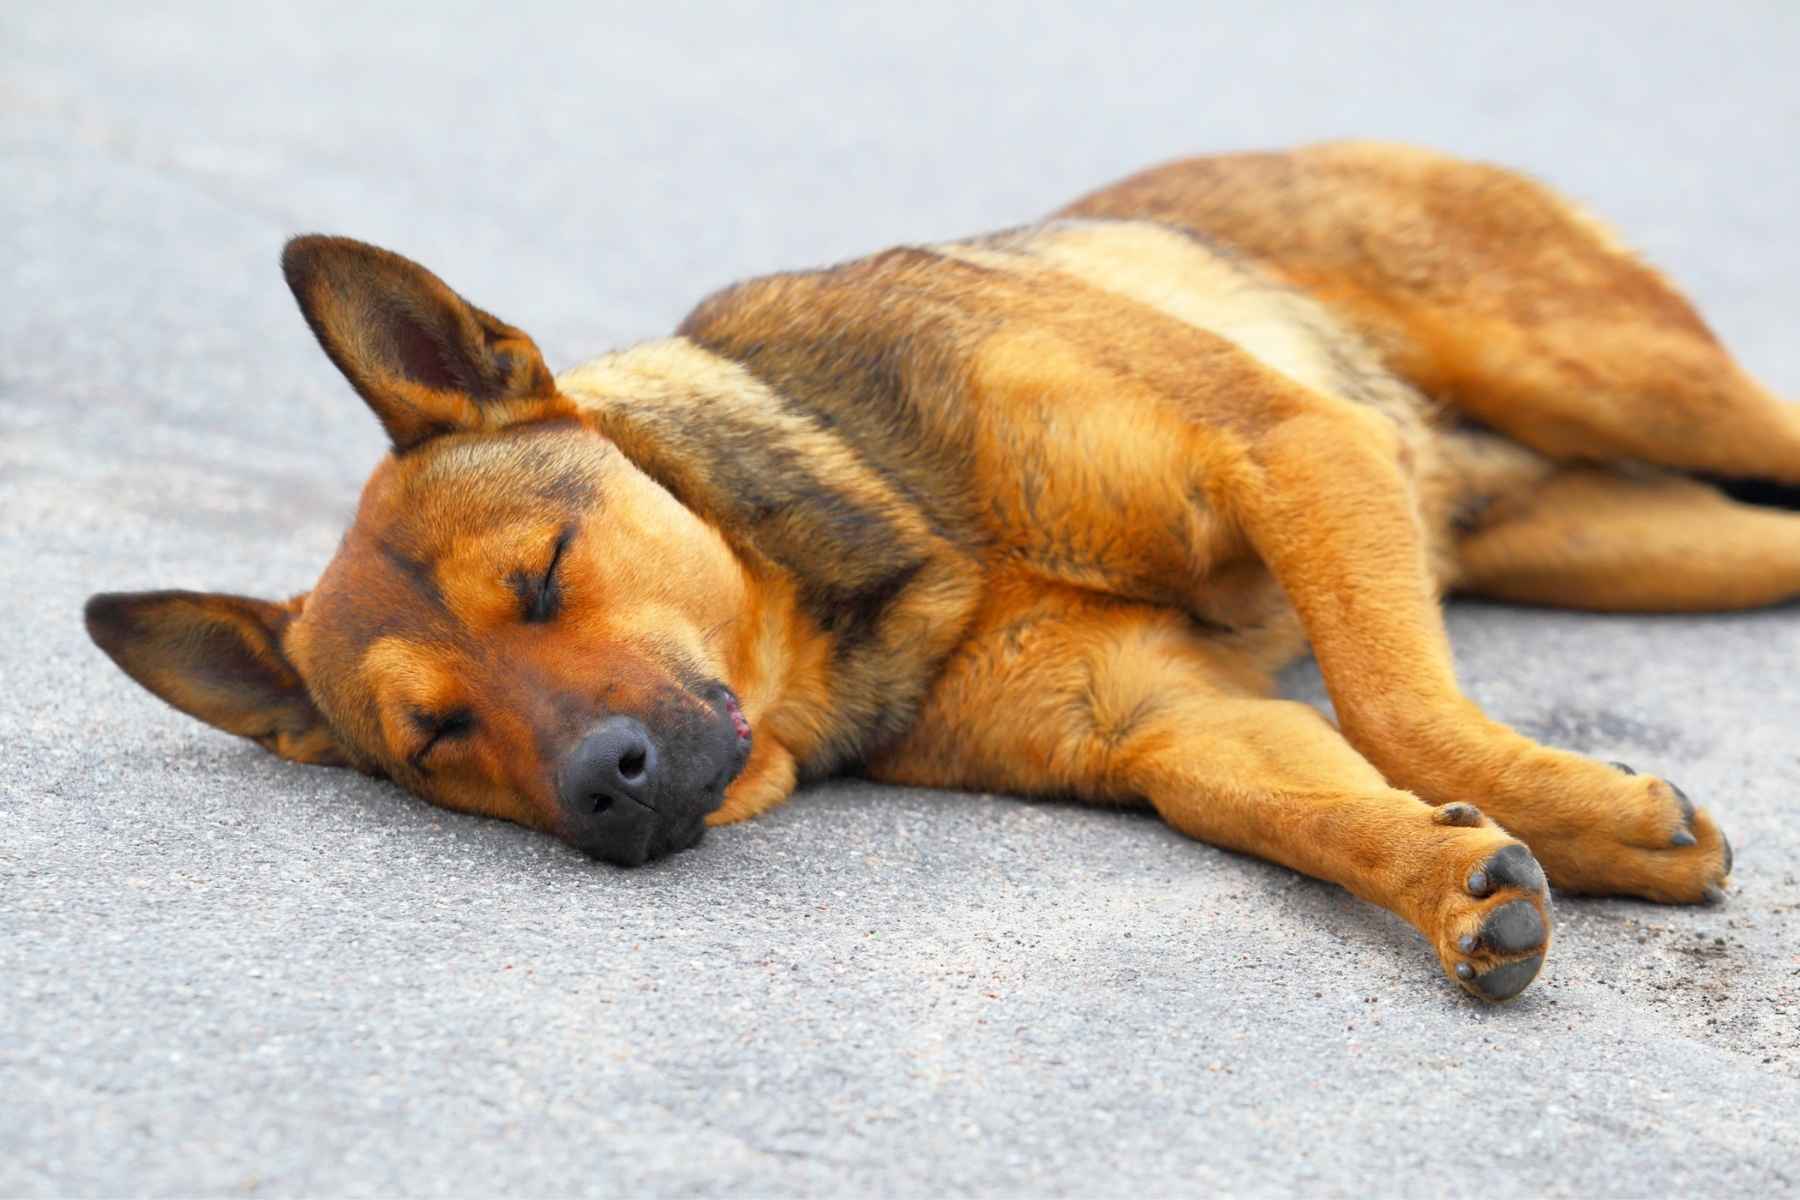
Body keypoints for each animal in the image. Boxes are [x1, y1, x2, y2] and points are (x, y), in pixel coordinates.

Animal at [87, 143, 1771, 1007]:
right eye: (436, 737)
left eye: (545, 577)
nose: (605, 785)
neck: (905, 537)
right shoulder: (1172, 727)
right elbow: (1317, 803)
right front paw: (1459, 872)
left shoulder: (1293, 449)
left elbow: (1402, 709)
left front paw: (1581, 815)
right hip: (1644, 541)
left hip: (1629, 384)